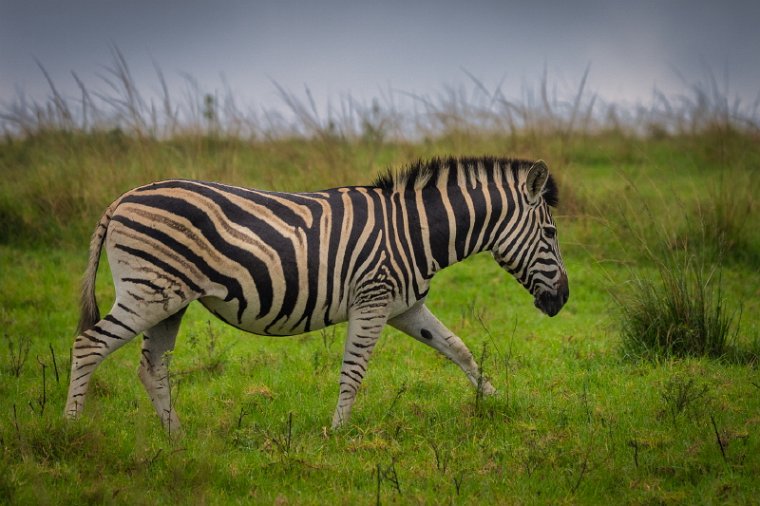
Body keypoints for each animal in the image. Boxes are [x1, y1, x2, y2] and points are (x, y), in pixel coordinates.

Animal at [65, 157, 568, 430]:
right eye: (551, 233)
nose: (561, 300)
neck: (415, 232)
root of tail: (122, 198)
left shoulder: (405, 307)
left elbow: (458, 348)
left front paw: (497, 400)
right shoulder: (373, 301)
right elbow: (354, 371)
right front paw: (339, 432)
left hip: (169, 302)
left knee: (152, 369)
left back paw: (178, 441)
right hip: (148, 293)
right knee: (89, 345)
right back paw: (70, 431)